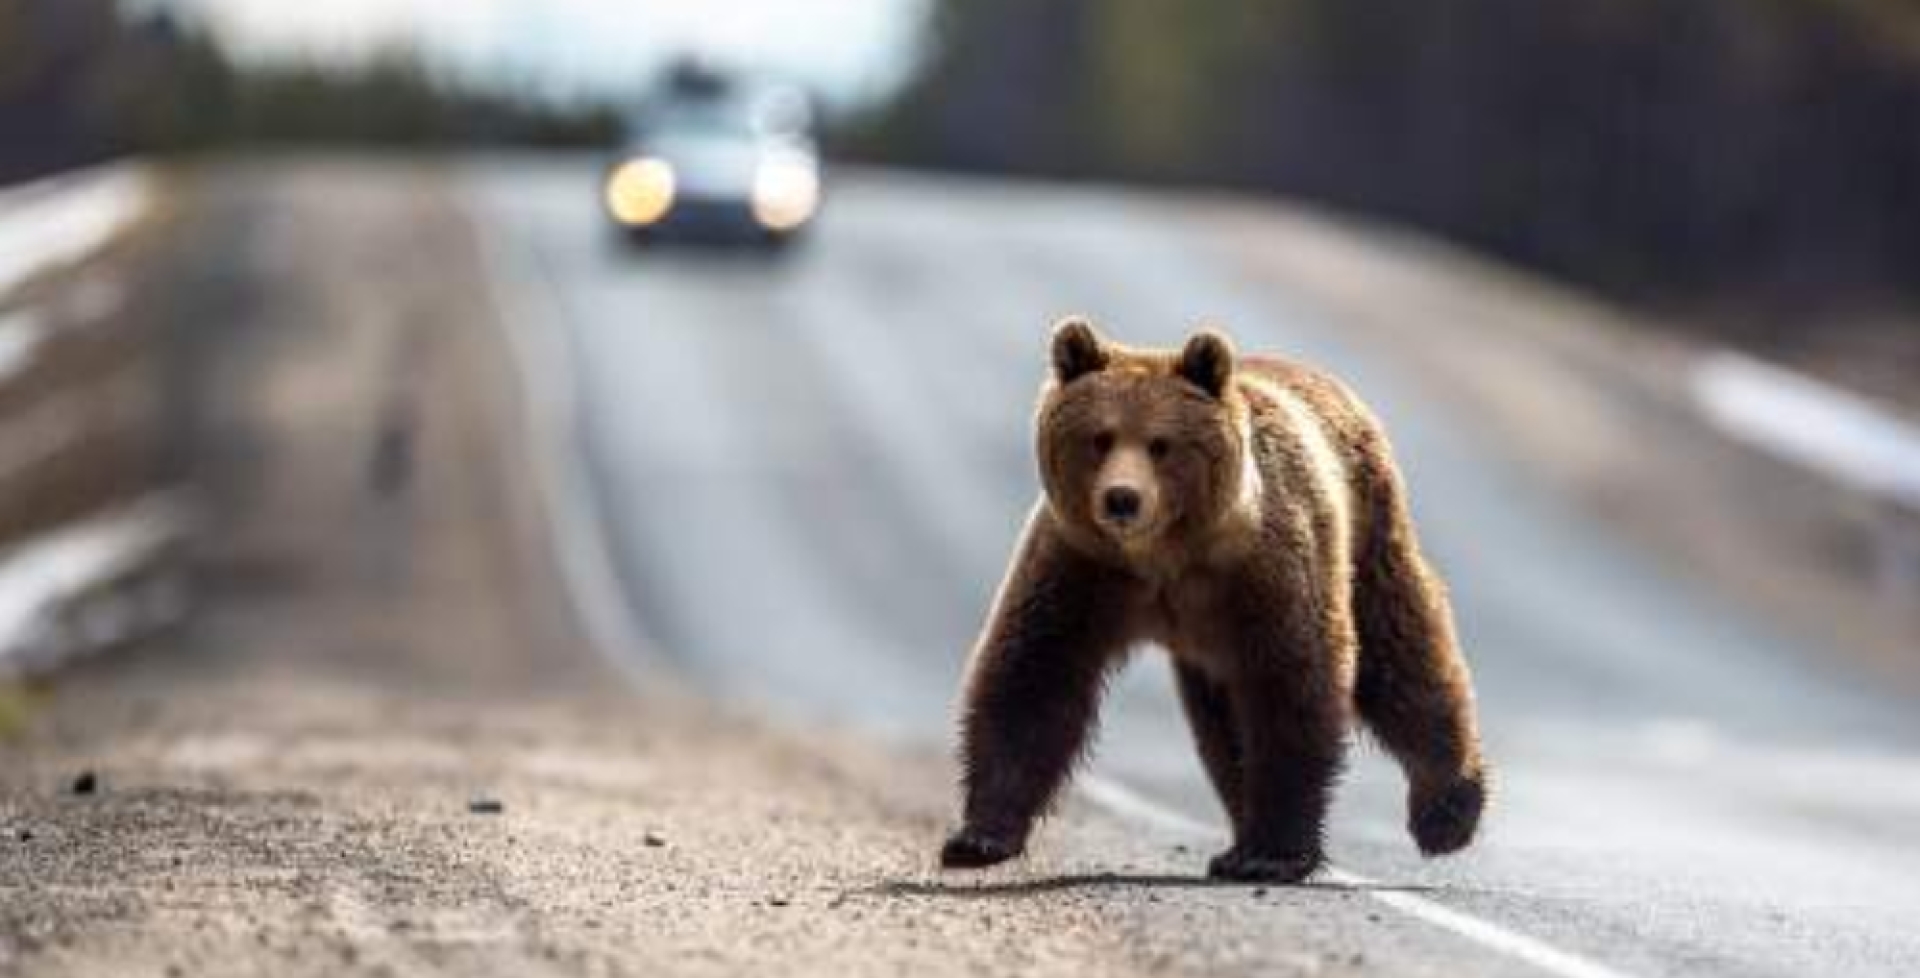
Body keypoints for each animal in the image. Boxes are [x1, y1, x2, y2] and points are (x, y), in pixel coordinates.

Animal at [940, 317, 1482, 880]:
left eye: (1161, 443)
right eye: (1100, 437)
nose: (1122, 499)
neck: (1168, 555)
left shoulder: (1264, 573)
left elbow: (1293, 685)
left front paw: (1276, 853)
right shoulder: (1085, 565)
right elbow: (1034, 673)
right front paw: (977, 838)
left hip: (1368, 534)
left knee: (1402, 654)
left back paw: (1447, 813)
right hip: (1213, 649)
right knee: (1222, 727)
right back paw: (1236, 843)